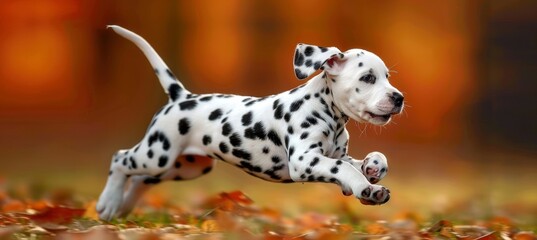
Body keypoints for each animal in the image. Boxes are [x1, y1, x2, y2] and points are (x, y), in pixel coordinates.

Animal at [95, 25, 402, 219]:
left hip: (186, 165)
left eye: (387, 77)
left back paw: (122, 208)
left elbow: (366, 161)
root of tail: (181, 96)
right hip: (157, 152)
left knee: (141, 179)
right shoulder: (304, 161)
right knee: (120, 158)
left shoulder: (335, 155)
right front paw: (363, 186)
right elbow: (343, 169)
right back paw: (108, 203)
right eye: (368, 78)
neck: (327, 112)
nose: (399, 98)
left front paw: (373, 174)